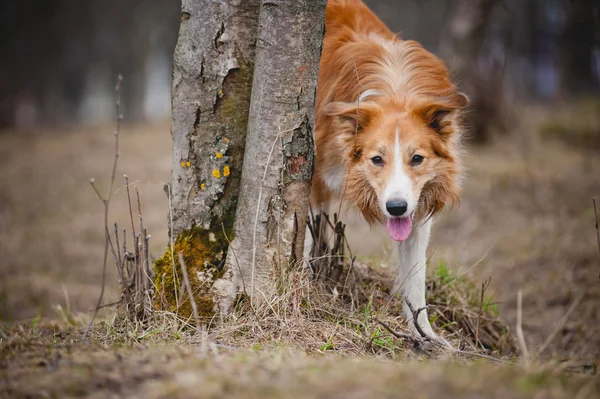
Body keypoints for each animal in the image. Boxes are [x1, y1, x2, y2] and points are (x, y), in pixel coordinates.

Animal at [310, 0, 468, 344]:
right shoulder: (312, 180)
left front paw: (425, 334)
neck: (396, 92)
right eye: (377, 160)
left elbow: (415, 278)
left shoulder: (418, 209)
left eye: (417, 159)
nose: (396, 207)